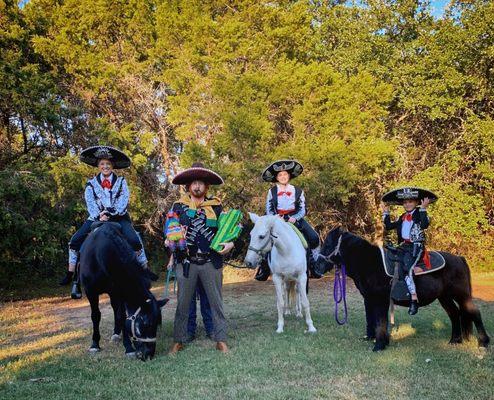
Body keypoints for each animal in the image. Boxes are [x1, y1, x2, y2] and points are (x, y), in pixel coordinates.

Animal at [79, 223, 168, 360]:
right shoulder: (90, 291)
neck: (99, 255)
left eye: (157, 324)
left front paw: (128, 348)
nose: (148, 354)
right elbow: (95, 315)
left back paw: (116, 333)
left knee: (116, 310)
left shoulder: (119, 292)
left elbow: (122, 317)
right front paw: (94, 344)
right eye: (146, 323)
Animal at [316, 227, 490, 352]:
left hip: (461, 295)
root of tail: (459, 259)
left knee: (473, 312)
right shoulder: (369, 299)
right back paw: (455, 340)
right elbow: (370, 319)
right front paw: (371, 338)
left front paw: (379, 345)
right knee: (454, 314)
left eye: (328, 245)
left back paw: (483, 343)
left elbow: (380, 321)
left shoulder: (380, 300)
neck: (369, 262)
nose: (316, 267)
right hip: (445, 297)